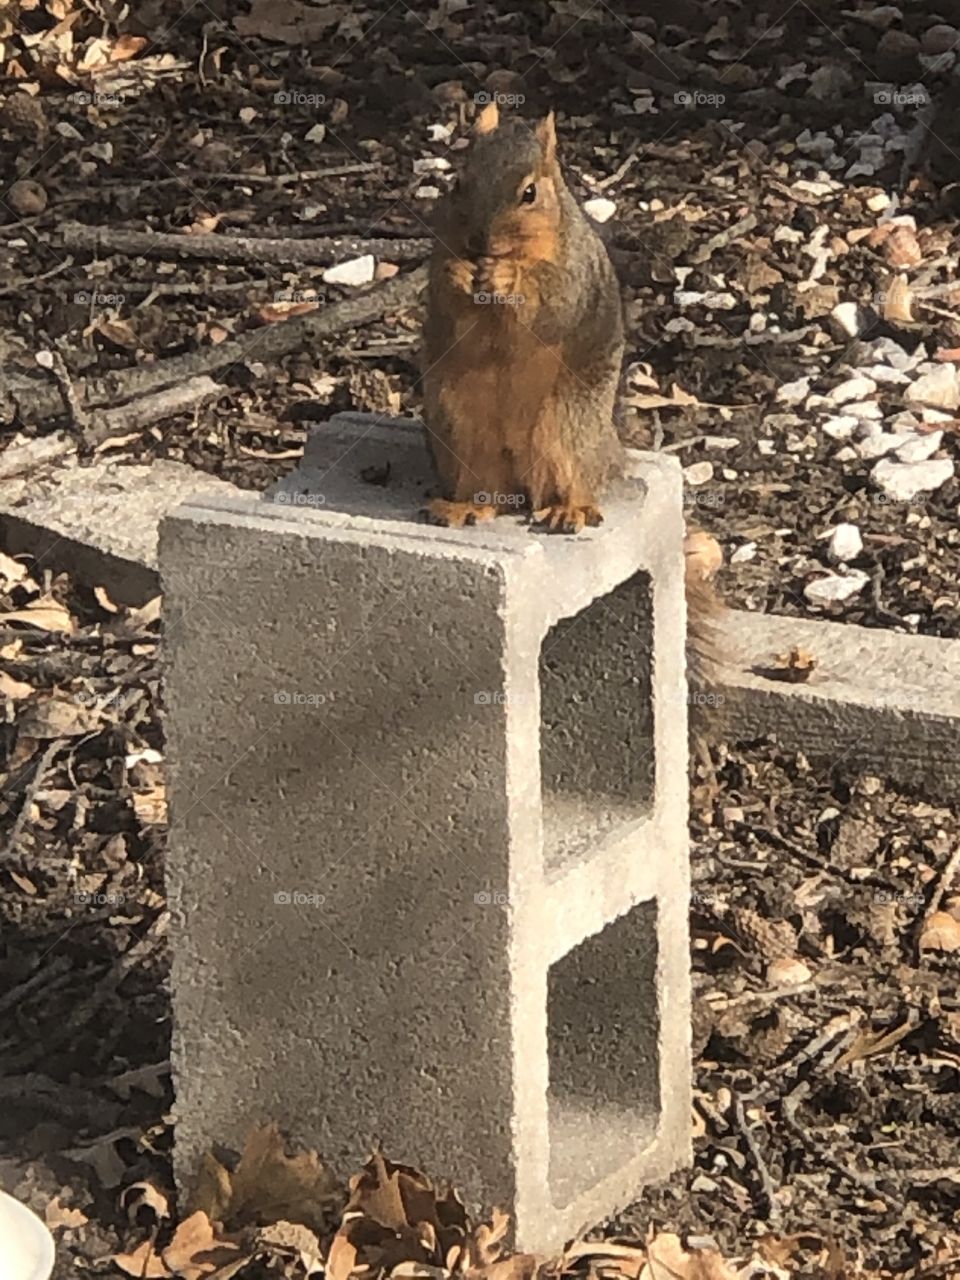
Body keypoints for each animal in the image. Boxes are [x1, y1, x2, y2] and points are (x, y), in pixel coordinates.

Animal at [419, 102, 724, 692]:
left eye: (530, 193)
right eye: (457, 182)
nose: (479, 243)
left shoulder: (571, 276)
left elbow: (547, 303)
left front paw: (507, 276)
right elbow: (446, 297)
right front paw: (460, 272)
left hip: (564, 425)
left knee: (570, 478)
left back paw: (569, 510)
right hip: (457, 422)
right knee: (483, 487)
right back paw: (464, 506)